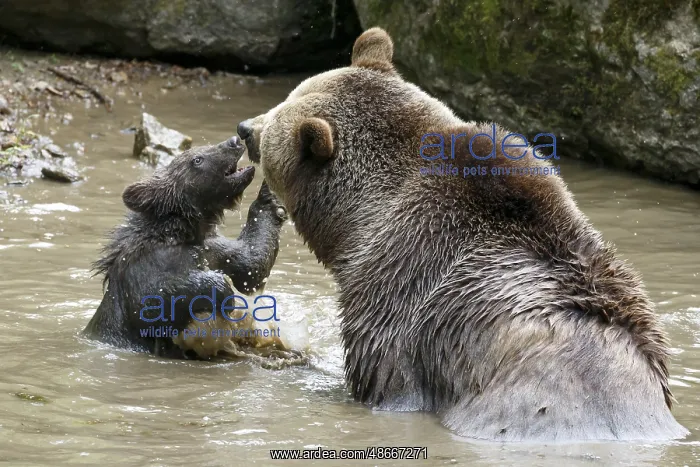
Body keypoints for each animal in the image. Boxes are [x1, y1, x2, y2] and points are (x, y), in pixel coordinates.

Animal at [82, 136, 289, 359]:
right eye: (197, 159)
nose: (233, 141)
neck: (186, 231)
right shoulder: (147, 261)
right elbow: (149, 300)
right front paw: (222, 290)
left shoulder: (213, 248)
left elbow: (250, 265)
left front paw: (270, 192)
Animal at [235, 28, 690, 441]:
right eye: (285, 98)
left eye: (275, 120)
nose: (244, 127)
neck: (359, 221)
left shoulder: (401, 285)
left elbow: (384, 371)